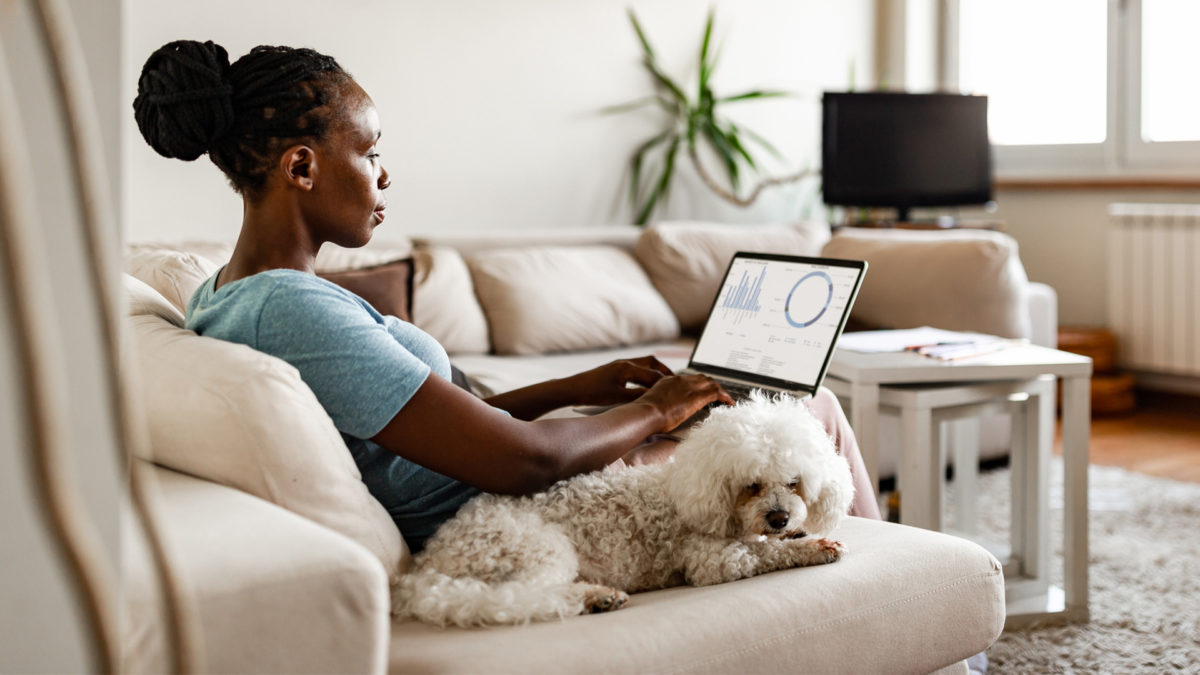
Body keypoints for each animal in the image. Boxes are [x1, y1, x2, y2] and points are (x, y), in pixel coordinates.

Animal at [393, 389, 854, 624]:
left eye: (794, 483)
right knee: (523, 596)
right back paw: (598, 597)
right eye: (751, 486)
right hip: (535, 548)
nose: (779, 517)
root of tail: (427, 565)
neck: (691, 488)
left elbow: (772, 542)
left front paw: (799, 532)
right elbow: (767, 552)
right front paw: (813, 547)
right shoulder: (712, 559)